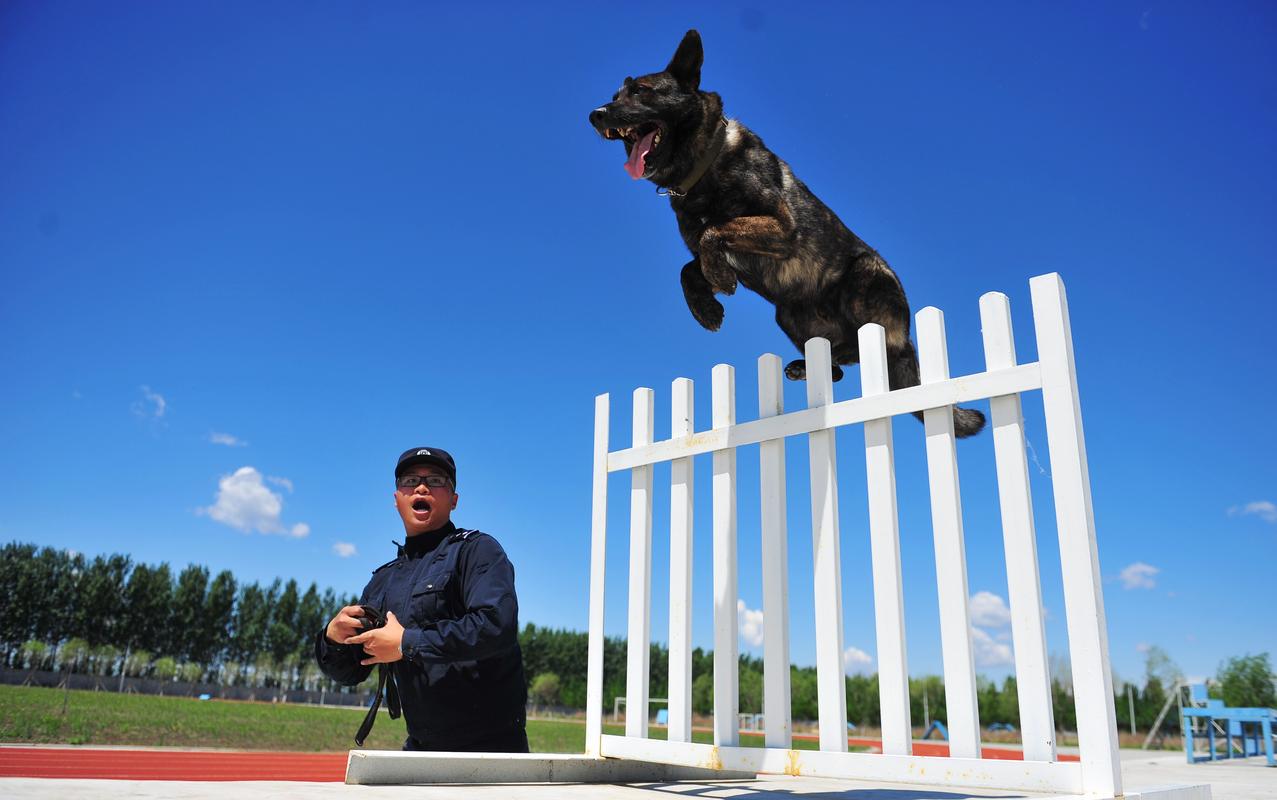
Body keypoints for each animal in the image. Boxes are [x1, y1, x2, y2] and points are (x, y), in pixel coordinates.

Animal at [589, 29, 985, 437]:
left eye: (642, 91)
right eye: (616, 95)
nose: (595, 115)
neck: (705, 167)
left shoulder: (782, 225)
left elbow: (714, 231)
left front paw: (717, 285)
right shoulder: (717, 250)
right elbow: (688, 268)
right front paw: (707, 306)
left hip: (866, 277)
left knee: (882, 348)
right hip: (788, 315)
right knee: (839, 366)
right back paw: (807, 366)